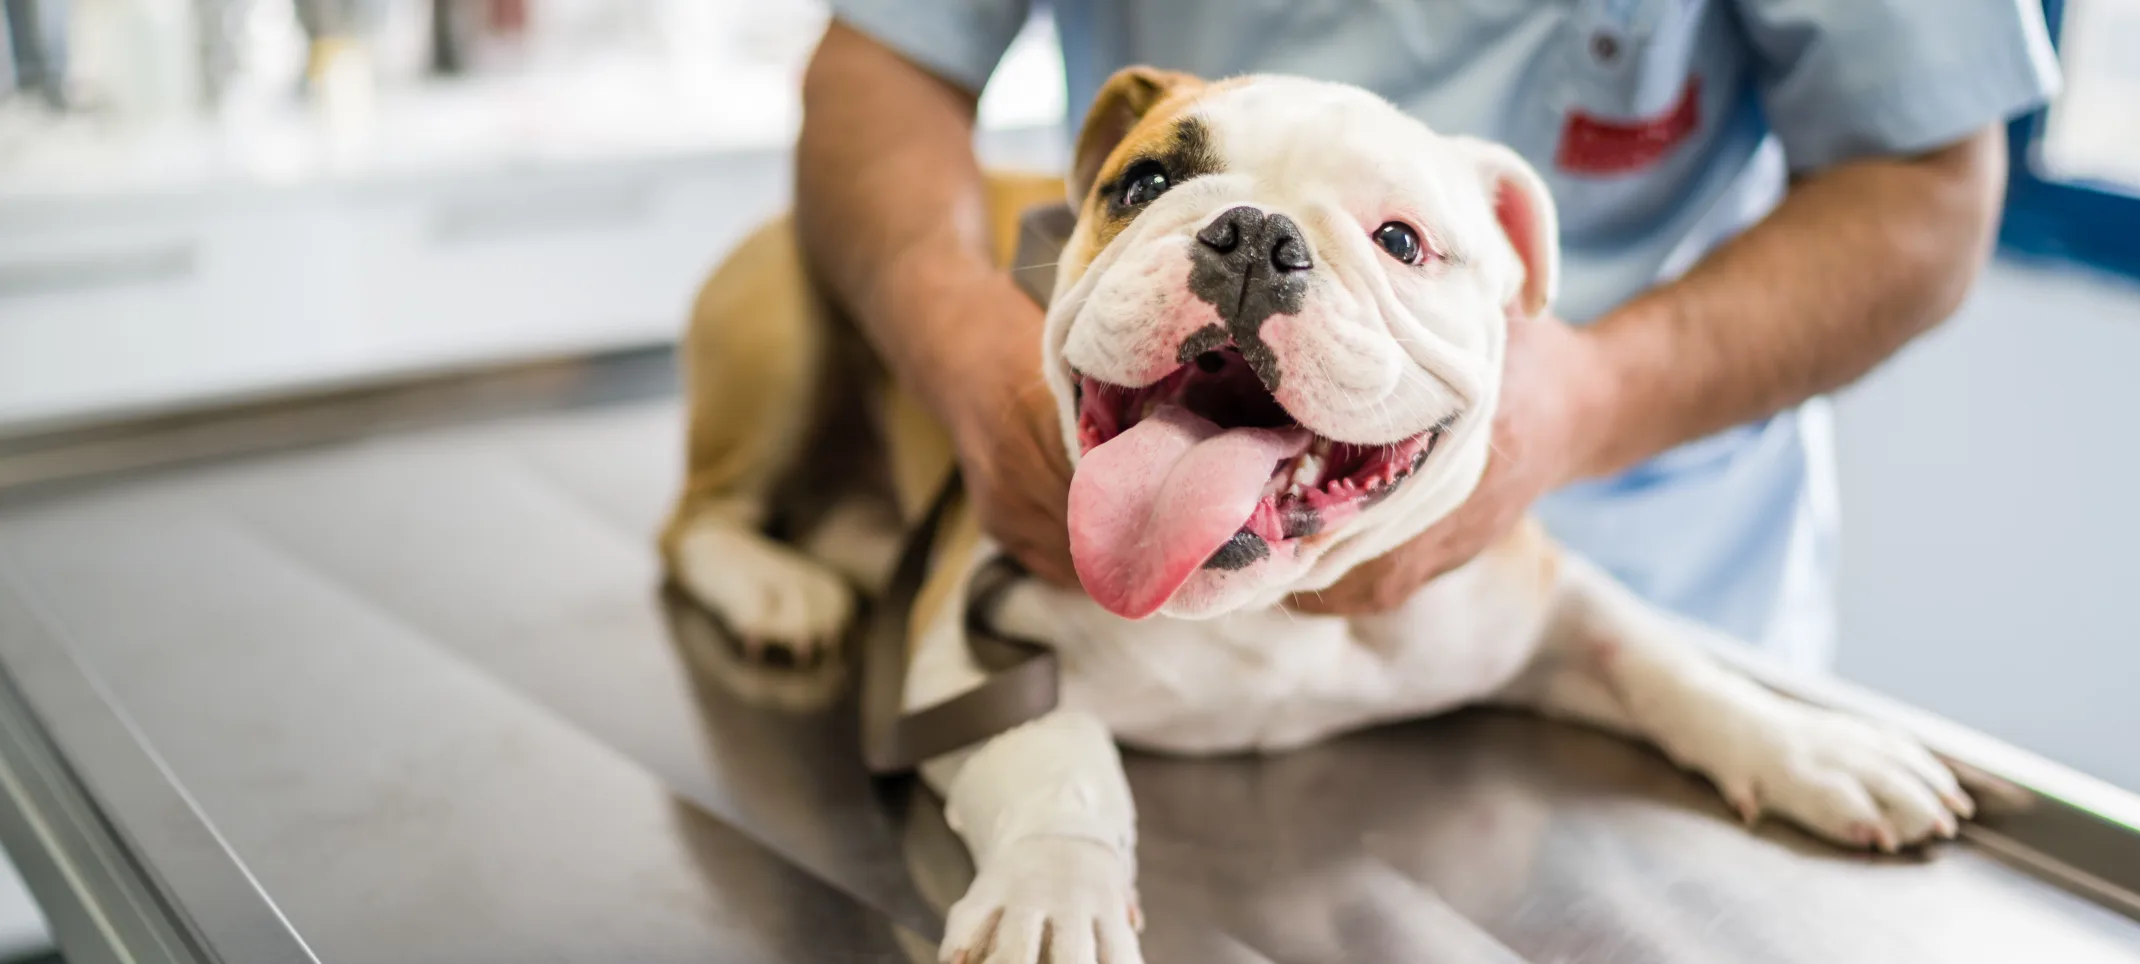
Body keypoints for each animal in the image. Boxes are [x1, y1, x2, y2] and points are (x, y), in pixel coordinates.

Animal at [663, 67, 1968, 964]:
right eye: (1146, 183)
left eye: (1400, 240)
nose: (1252, 233)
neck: (1270, 603)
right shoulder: (963, 643)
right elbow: (1061, 759)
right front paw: (1053, 892)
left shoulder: (1532, 596)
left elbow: (1662, 661)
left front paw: (1811, 743)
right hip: (785, 324)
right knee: (693, 521)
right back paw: (775, 583)